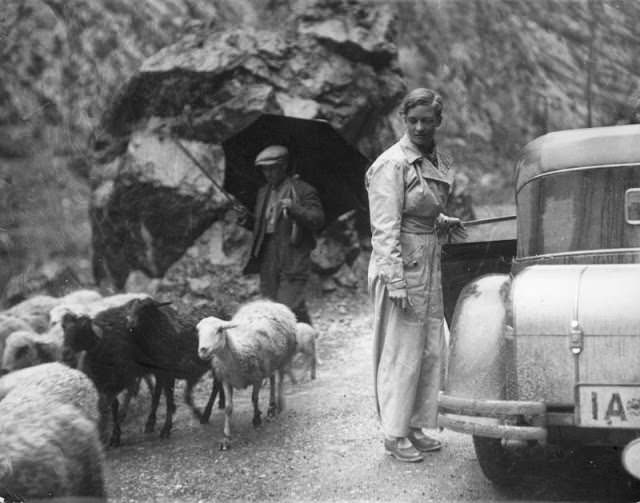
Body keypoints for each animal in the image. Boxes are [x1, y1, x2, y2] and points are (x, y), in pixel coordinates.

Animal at [124, 298, 225, 432]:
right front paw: (150, 423)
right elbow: (156, 397)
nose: (130, 323)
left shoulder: (170, 372)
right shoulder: (159, 373)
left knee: (215, 385)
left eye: (145, 308)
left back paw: (205, 415)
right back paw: (221, 402)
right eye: (130, 308)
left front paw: (166, 428)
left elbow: (168, 399)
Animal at [195, 300, 298, 448]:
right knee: (272, 378)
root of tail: (269, 302)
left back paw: (276, 406)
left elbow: (254, 399)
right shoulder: (226, 380)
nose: (203, 350)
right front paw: (226, 438)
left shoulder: (257, 378)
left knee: (279, 381)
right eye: (198, 332)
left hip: (283, 358)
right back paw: (271, 407)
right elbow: (228, 408)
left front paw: (256, 419)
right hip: (268, 363)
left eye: (220, 330)